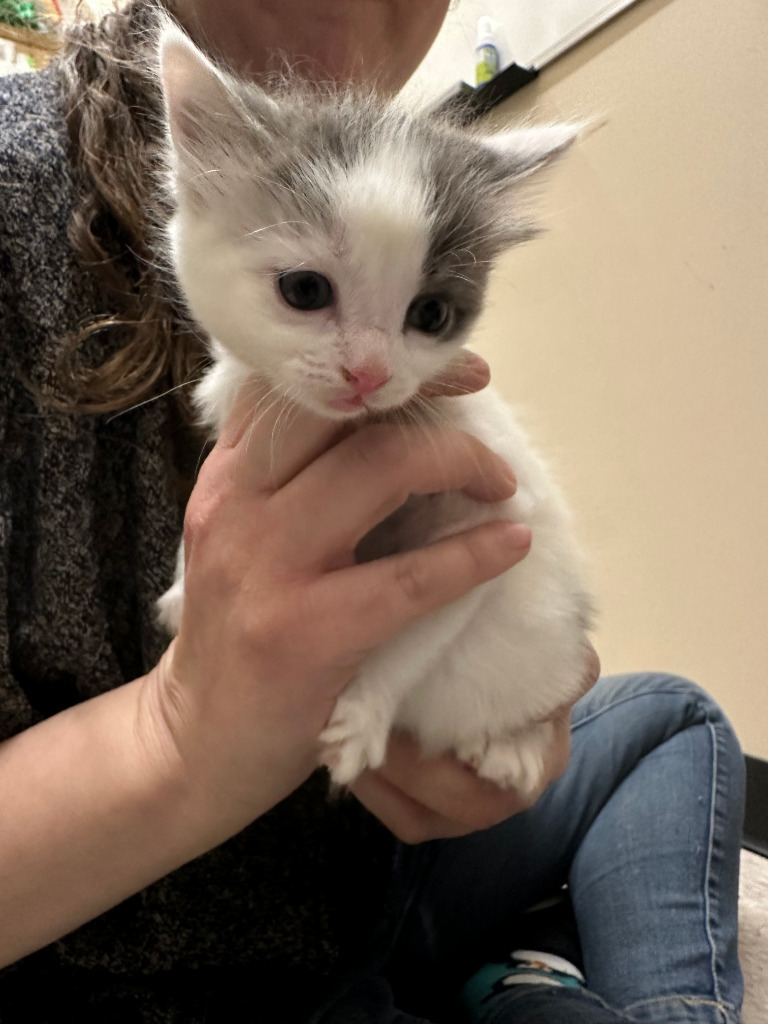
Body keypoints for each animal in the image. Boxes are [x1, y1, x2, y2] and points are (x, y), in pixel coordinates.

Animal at [153, 22, 593, 790]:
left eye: (432, 314)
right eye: (304, 290)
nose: (369, 372)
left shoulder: (498, 516)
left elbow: (418, 625)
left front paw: (363, 713)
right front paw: (186, 590)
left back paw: (513, 746)